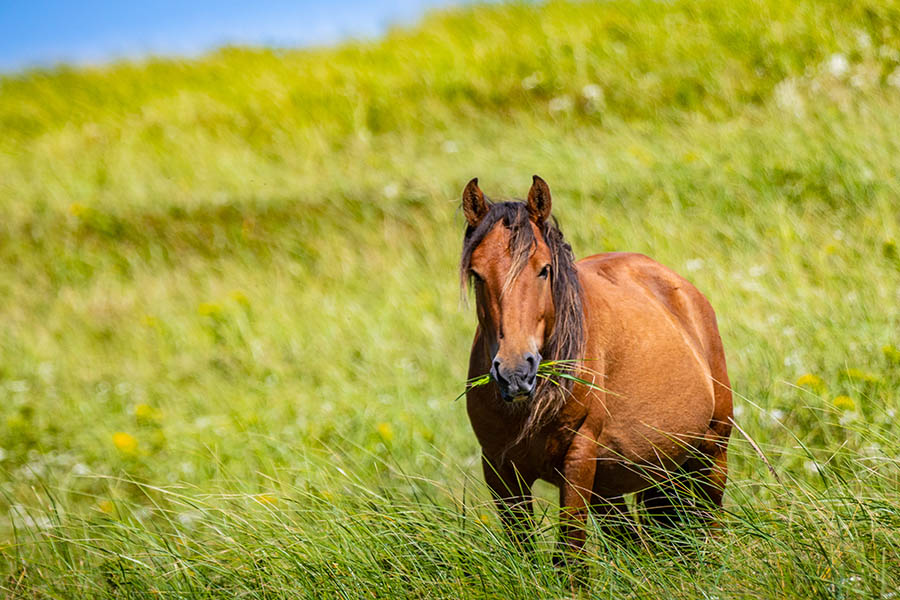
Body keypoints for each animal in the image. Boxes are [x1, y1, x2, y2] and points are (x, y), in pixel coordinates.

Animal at [464, 176, 732, 560]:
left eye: (544, 269)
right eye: (477, 274)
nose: (516, 373)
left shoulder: (578, 460)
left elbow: (570, 556)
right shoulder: (500, 470)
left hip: (711, 455)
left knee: (712, 528)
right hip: (627, 481)